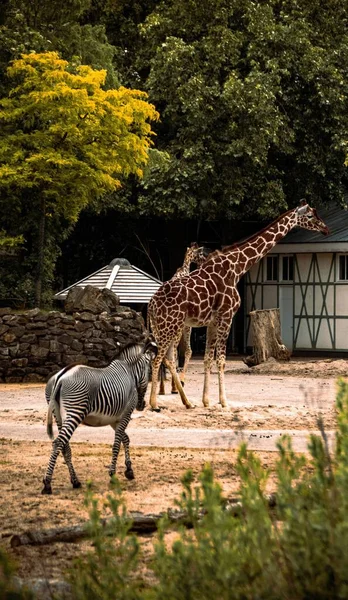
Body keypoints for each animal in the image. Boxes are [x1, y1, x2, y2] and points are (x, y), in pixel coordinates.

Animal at [41, 340, 158, 494]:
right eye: (149, 371)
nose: (141, 405)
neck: (129, 371)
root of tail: (61, 377)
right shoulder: (126, 414)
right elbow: (117, 444)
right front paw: (113, 474)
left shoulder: (115, 419)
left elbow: (125, 439)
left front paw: (129, 470)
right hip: (75, 411)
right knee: (58, 442)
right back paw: (47, 484)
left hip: (58, 415)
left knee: (65, 447)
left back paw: (75, 481)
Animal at [147, 204, 328, 410]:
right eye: (310, 215)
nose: (325, 229)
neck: (237, 267)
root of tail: (151, 304)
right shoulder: (227, 316)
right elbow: (221, 360)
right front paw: (223, 401)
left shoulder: (212, 322)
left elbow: (208, 359)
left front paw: (206, 401)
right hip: (170, 326)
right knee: (158, 359)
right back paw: (154, 403)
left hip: (166, 327)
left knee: (167, 358)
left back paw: (186, 402)